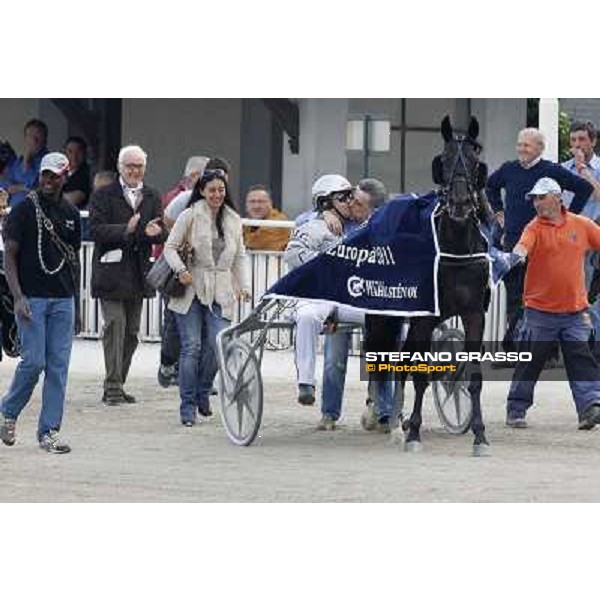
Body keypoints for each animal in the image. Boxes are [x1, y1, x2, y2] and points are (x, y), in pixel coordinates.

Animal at [366, 116, 496, 454]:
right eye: (445, 159)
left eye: (475, 160)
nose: (461, 203)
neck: (456, 250)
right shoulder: (424, 317)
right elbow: (420, 375)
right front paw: (413, 434)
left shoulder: (474, 314)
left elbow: (473, 375)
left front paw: (479, 436)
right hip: (385, 317)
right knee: (385, 360)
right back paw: (387, 420)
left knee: (403, 359)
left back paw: (398, 421)